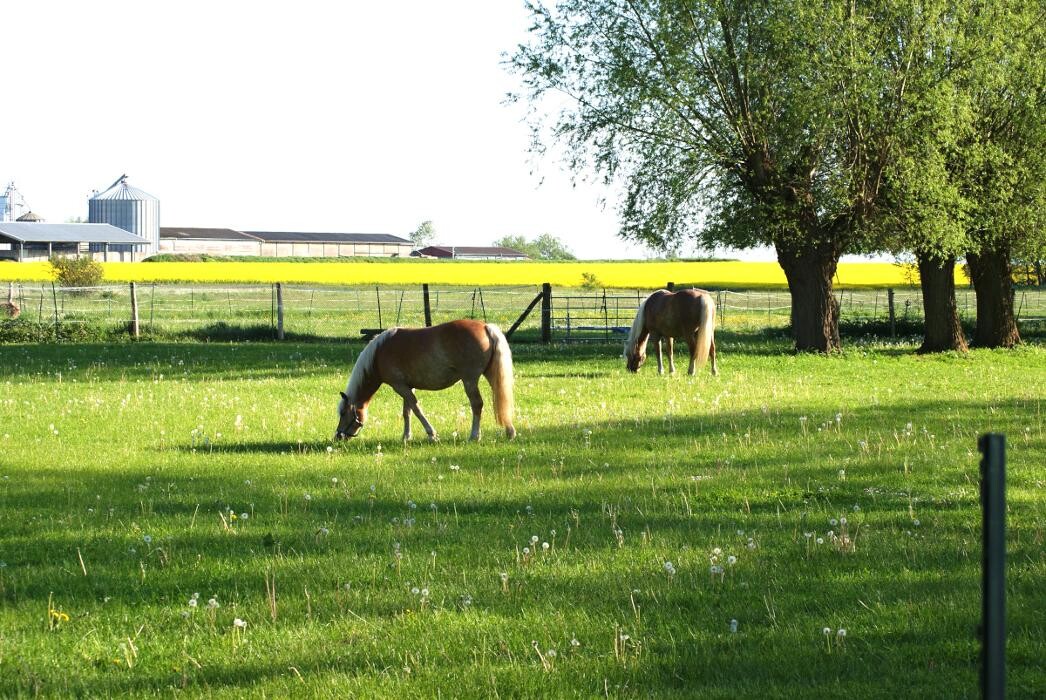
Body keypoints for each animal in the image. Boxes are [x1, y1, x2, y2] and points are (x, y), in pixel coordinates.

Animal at [334, 320, 514, 439]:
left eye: (343, 413)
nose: (338, 436)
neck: (379, 354)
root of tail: (485, 327)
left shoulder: (399, 386)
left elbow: (416, 409)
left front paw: (431, 434)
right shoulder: (407, 386)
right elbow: (407, 411)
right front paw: (406, 437)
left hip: (469, 380)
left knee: (477, 404)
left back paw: (474, 436)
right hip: (491, 375)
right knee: (500, 398)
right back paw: (510, 431)